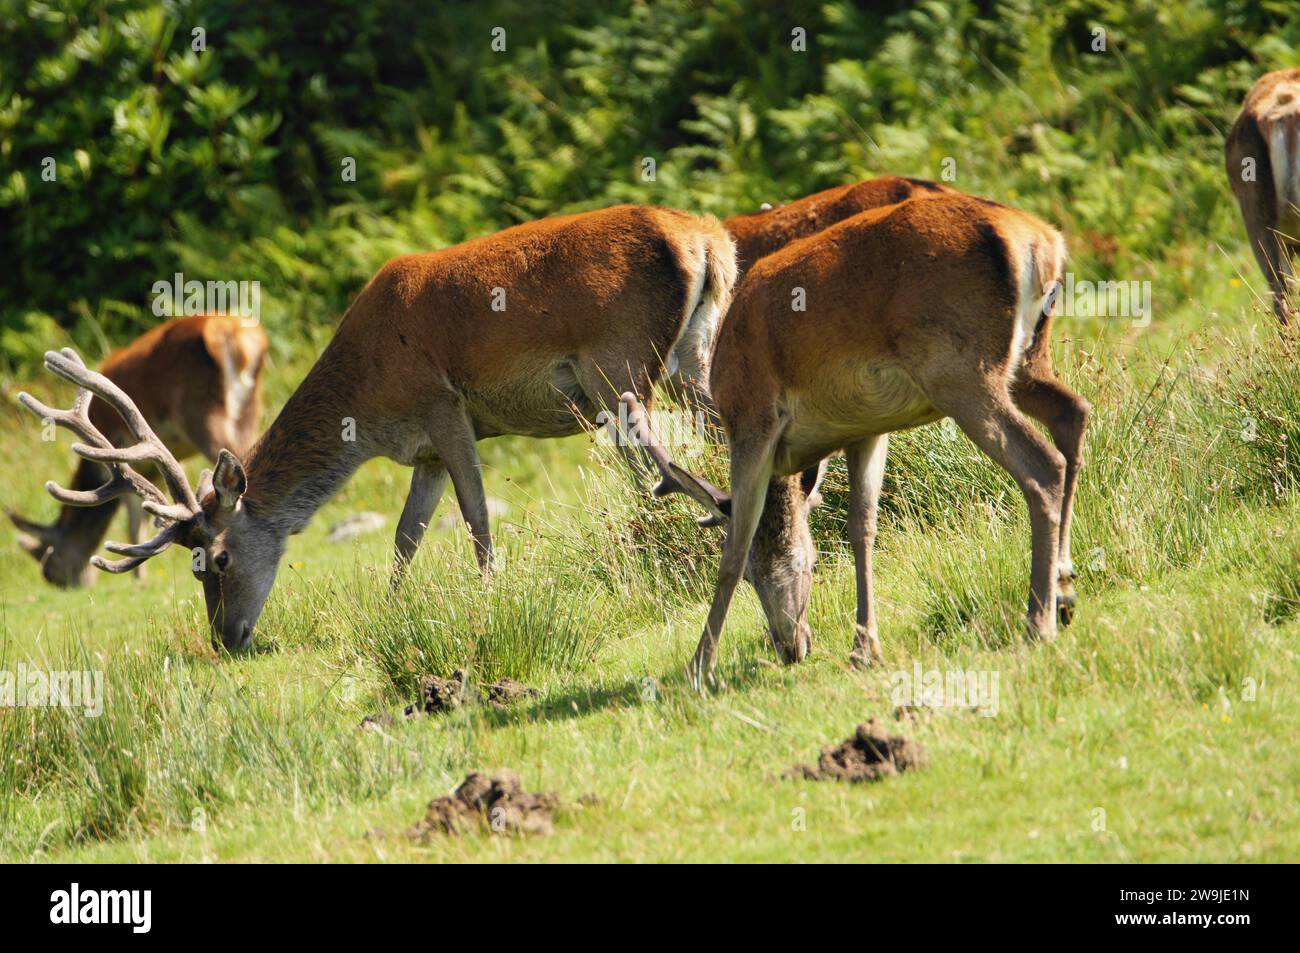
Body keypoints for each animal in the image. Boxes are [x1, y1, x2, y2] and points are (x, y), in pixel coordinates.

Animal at [10, 317, 266, 587]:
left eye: (51, 564)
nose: (71, 585)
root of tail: (239, 335)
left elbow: (133, 521)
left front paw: (138, 582)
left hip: (202, 413)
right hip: (249, 410)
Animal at [624, 189, 1092, 686]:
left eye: (806, 564)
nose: (791, 647)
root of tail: (1041, 241)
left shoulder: (754, 420)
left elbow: (734, 548)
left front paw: (698, 668)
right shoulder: (864, 428)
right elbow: (862, 526)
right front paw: (864, 649)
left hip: (959, 368)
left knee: (1042, 465)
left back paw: (1038, 620)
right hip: (1025, 361)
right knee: (1073, 413)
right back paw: (1064, 588)